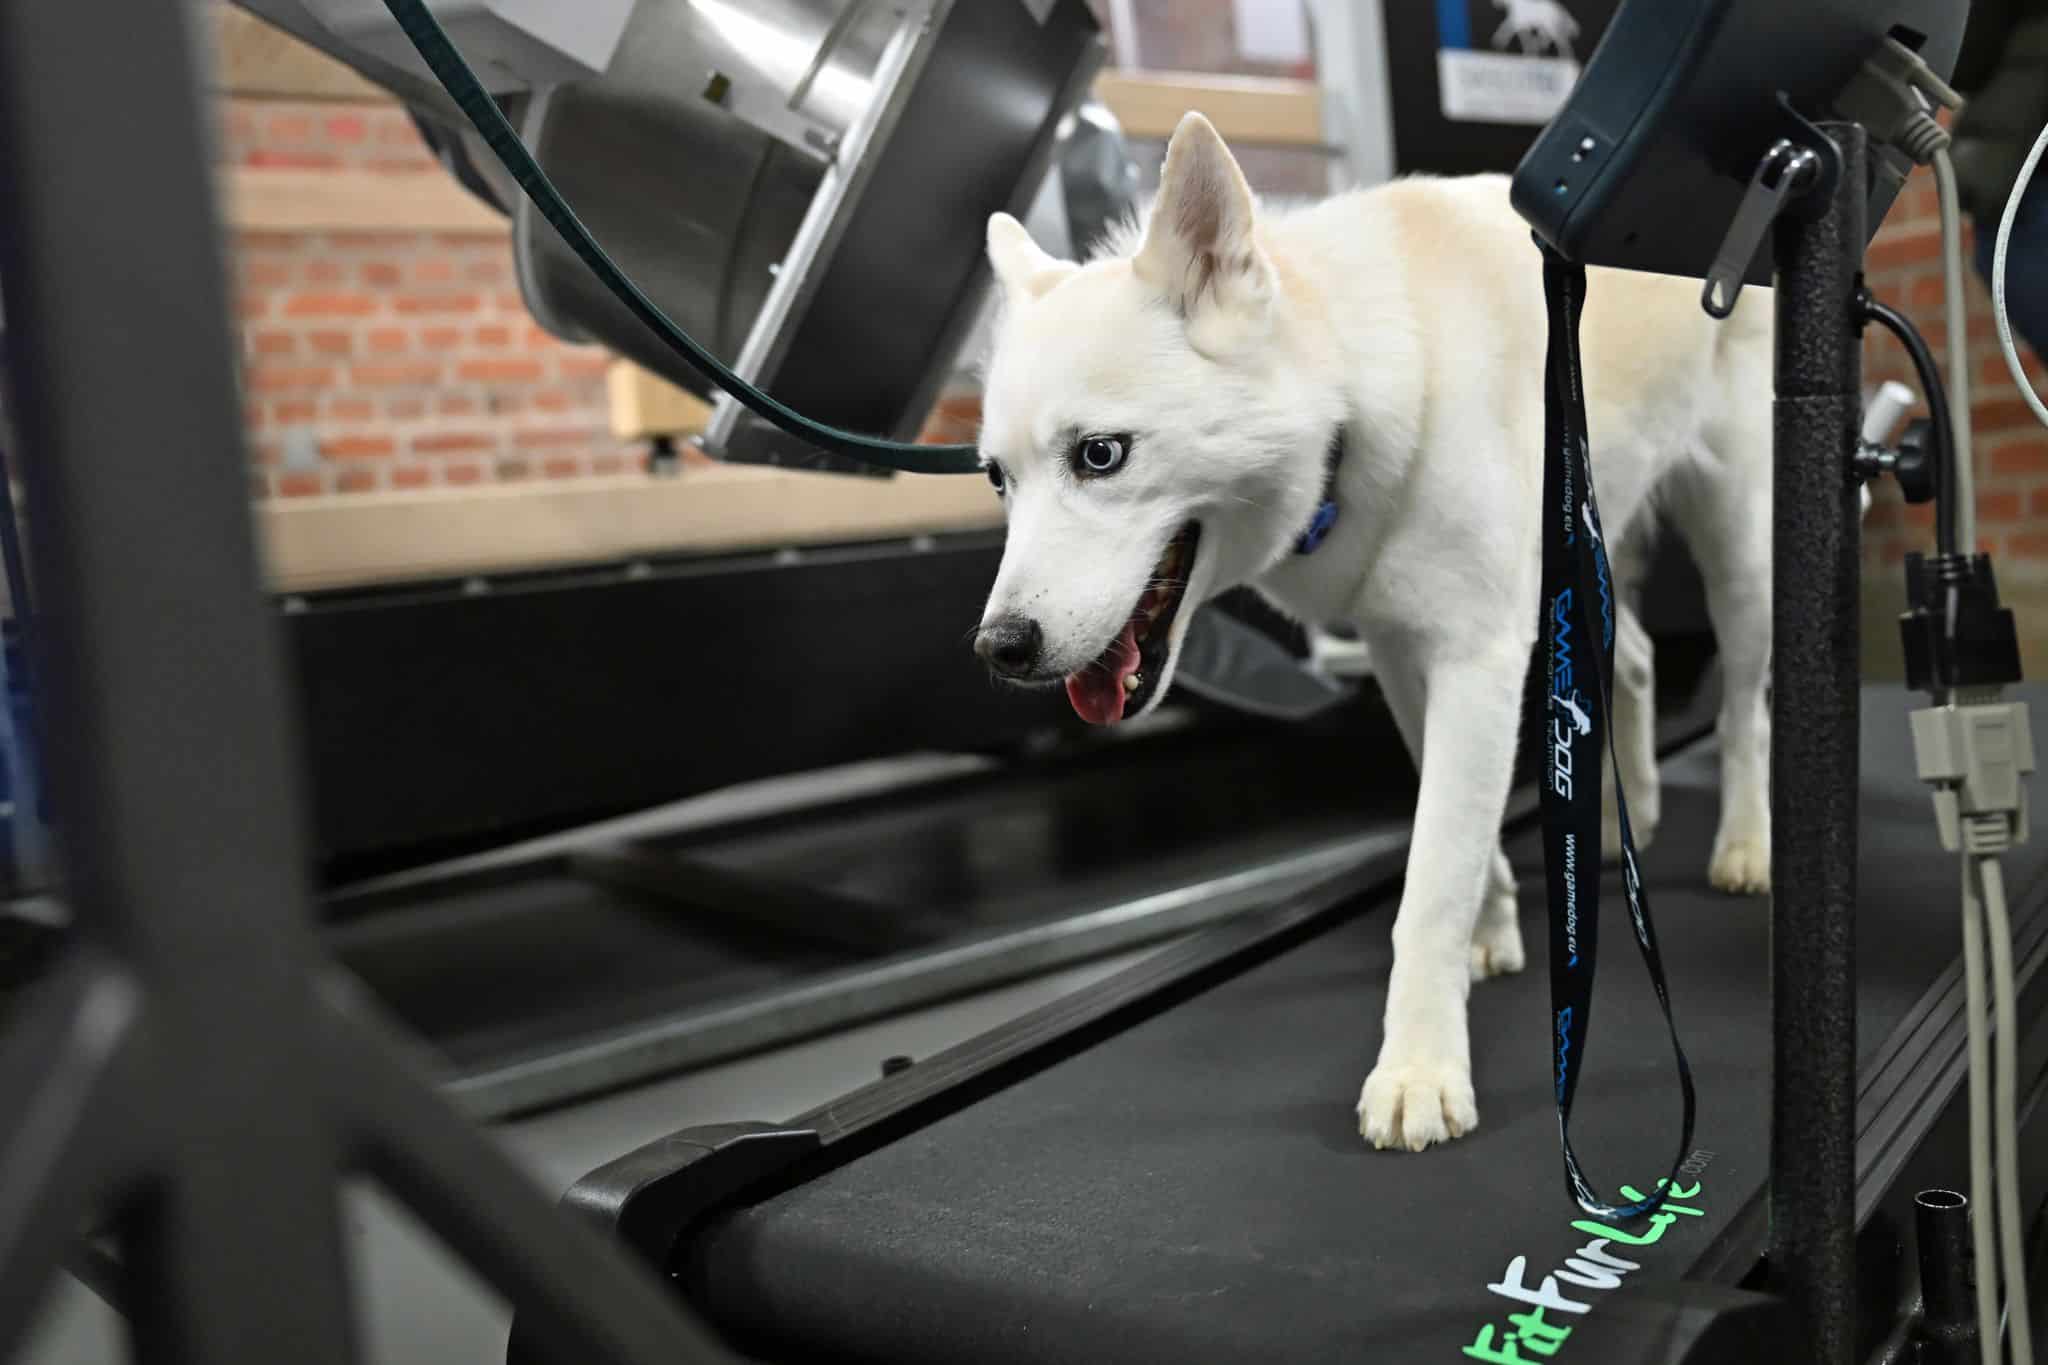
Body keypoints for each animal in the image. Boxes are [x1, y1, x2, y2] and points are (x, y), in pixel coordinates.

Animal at [971, 112, 1773, 1152]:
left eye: (1100, 455)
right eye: (996, 479)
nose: (1000, 647)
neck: (1345, 385)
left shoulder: (1477, 656)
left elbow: (1430, 877)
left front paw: (1420, 1066)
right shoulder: (1401, 650)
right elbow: (1456, 829)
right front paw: (1492, 932)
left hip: (1739, 556)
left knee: (1746, 711)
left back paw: (1745, 844)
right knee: (1632, 664)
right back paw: (1612, 814)